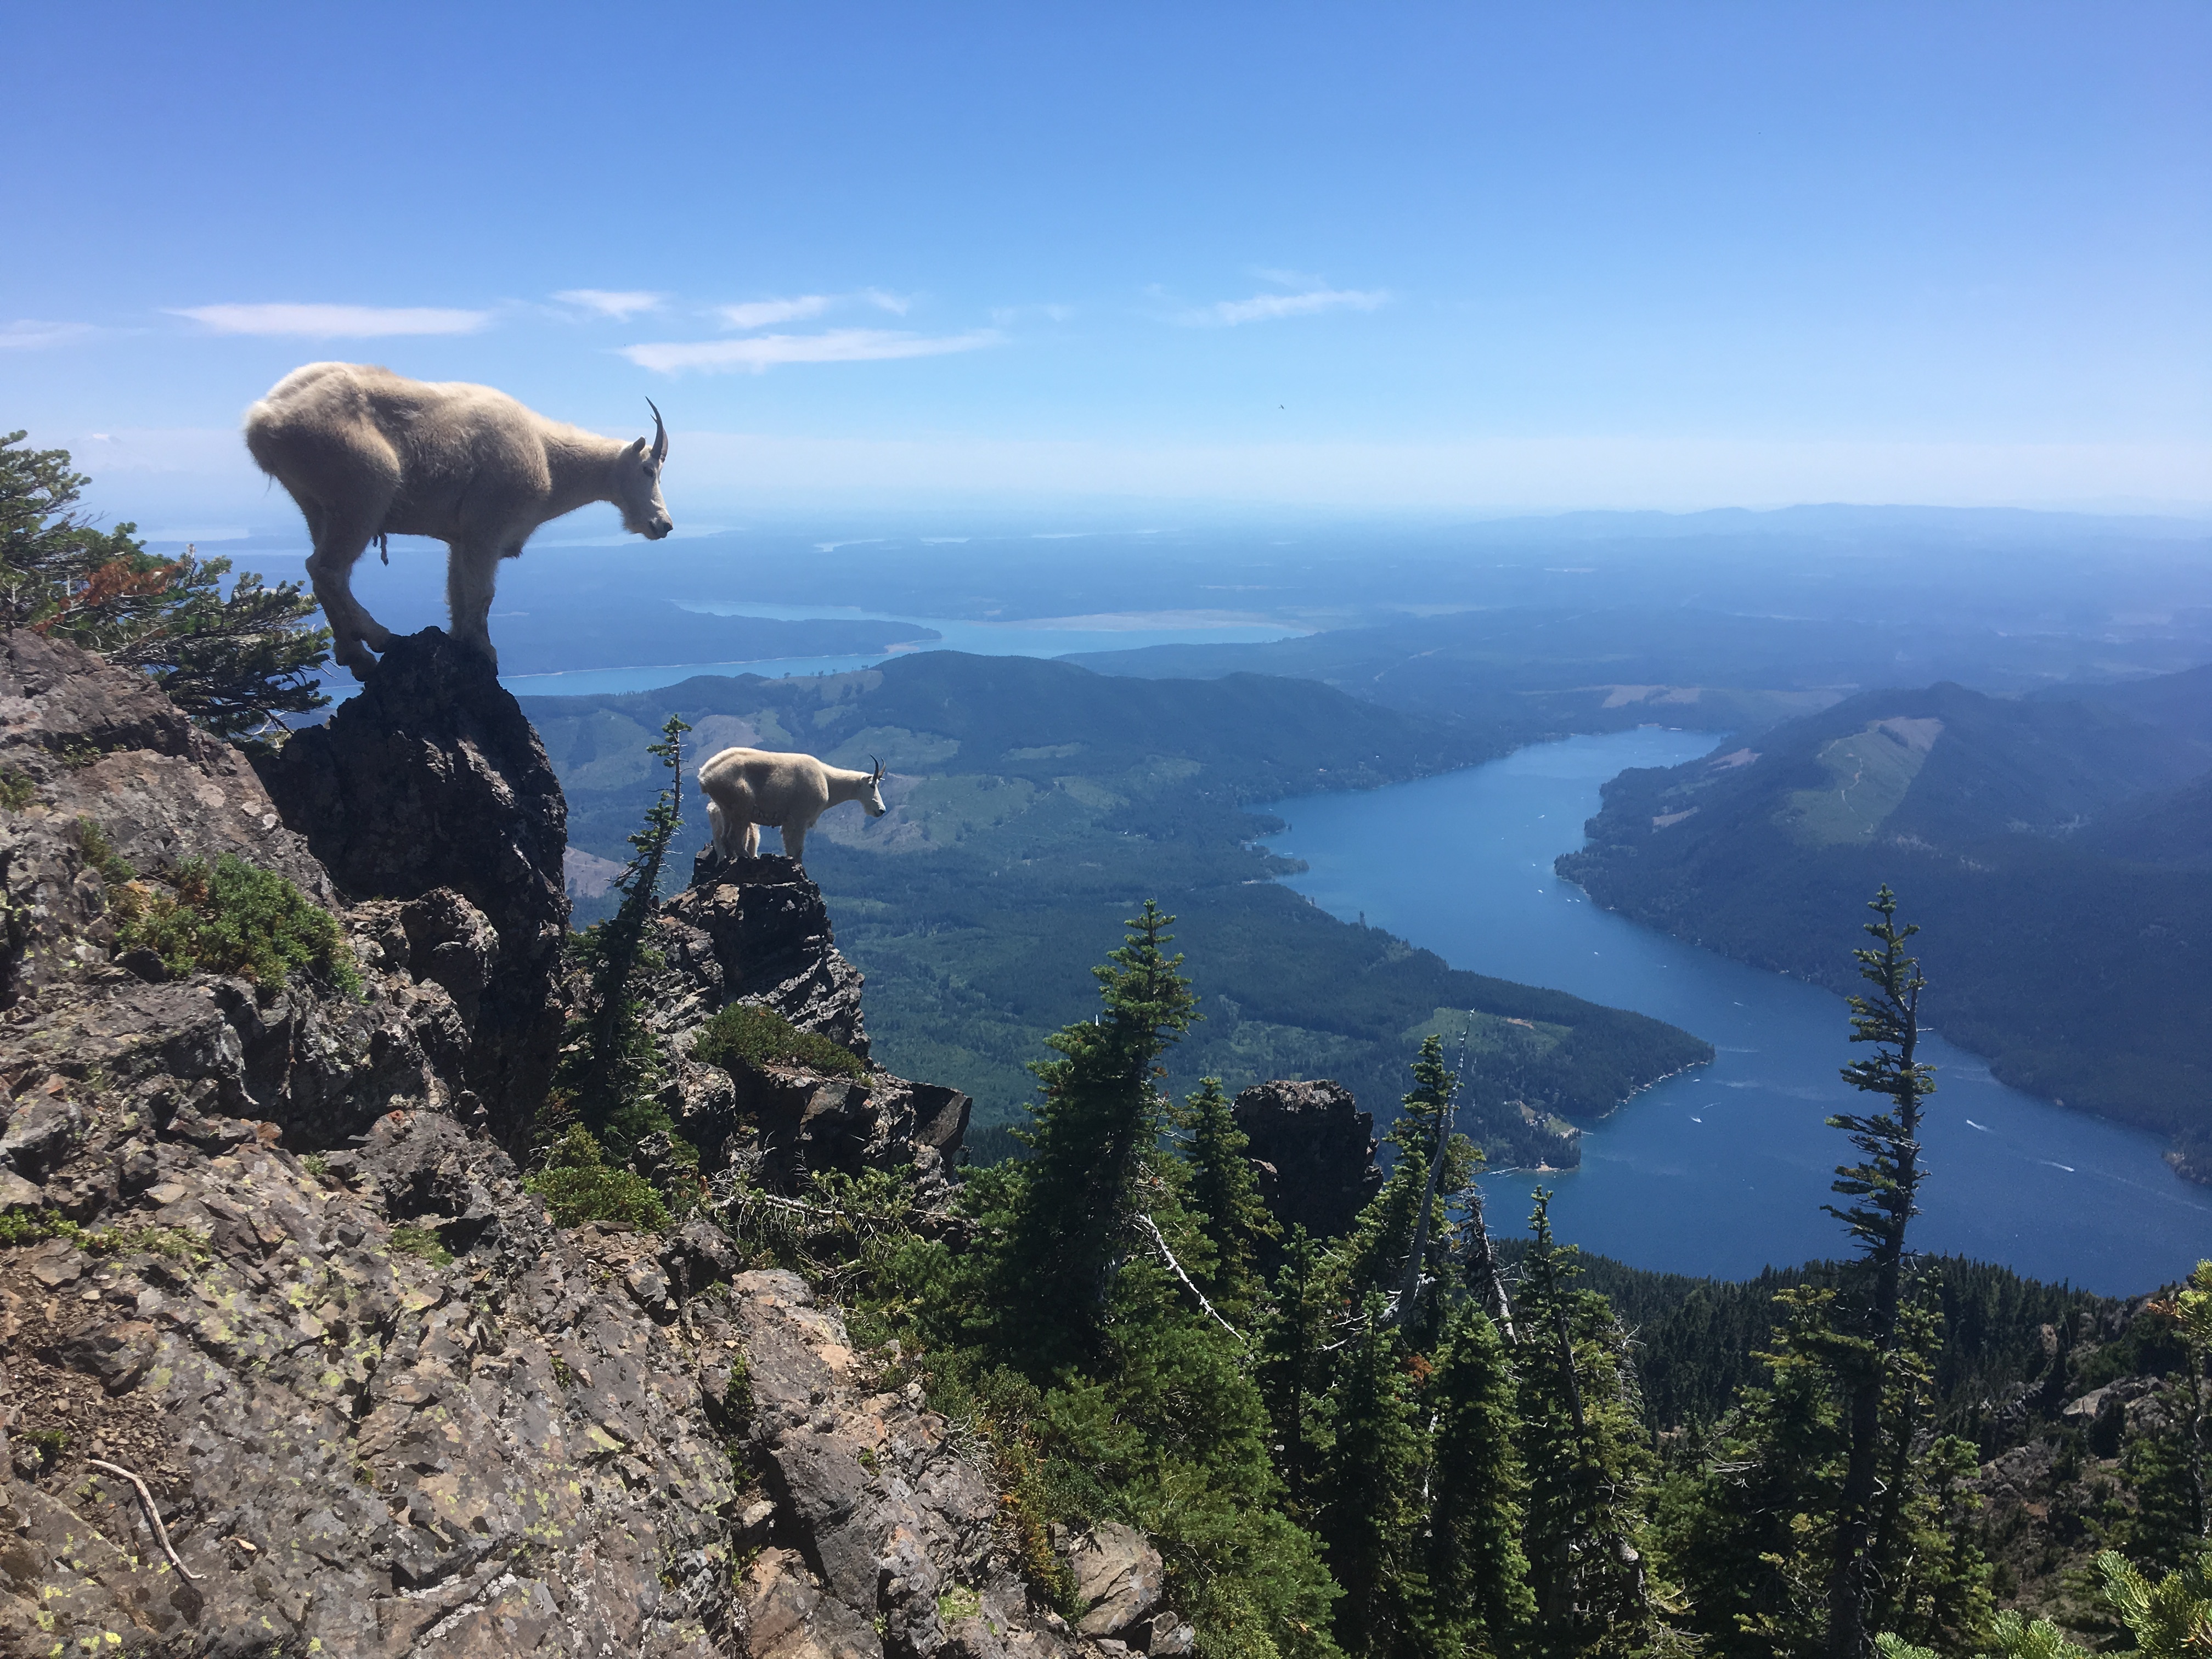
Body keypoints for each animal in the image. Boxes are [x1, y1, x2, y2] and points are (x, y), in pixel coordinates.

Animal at [243, 362, 673, 677]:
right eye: (649, 470)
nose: (664, 525)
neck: (550, 457)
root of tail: (263, 419)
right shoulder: (487, 528)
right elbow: (483, 594)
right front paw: (485, 651)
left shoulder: (461, 538)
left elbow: (458, 591)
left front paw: (458, 640)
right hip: (363, 493)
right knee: (327, 569)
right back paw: (380, 640)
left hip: (317, 505)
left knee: (326, 572)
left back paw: (356, 655)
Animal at [698, 747, 887, 868]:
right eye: (872, 785)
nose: (881, 810)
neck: (827, 780)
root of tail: (705, 775)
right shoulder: (798, 819)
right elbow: (796, 850)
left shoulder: (791, 822)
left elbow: (792, 849)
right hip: (741, 809)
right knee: (734, 839)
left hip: (726, 809)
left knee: (725, 839)